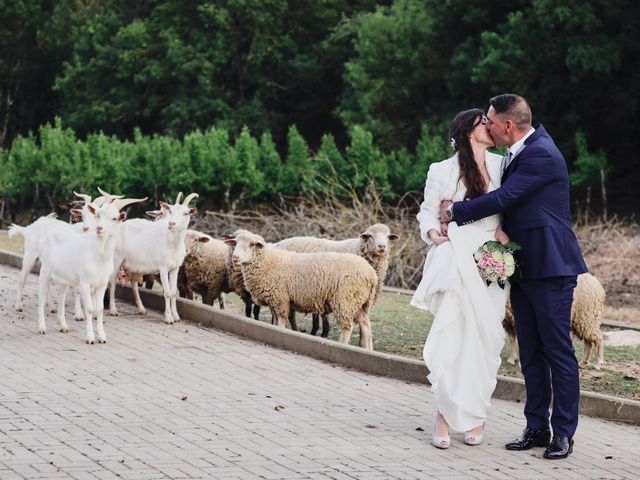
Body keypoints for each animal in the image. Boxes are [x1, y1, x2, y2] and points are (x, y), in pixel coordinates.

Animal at [225, 230, 378, 346]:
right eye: (236, 243)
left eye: (252, 244)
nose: (235, 257)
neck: (267, 261)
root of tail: (371, 274)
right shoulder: (275, 301)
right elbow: (276, 322)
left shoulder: (280, 299)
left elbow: (281, 322)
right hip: (361, 301)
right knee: (365, 325)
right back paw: (367, 348)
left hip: (345, 300)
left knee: (347, 327)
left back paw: (342, 344)